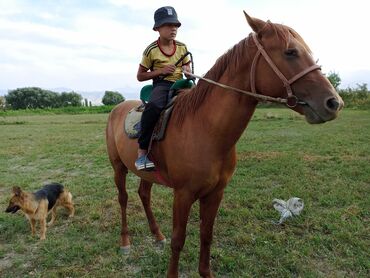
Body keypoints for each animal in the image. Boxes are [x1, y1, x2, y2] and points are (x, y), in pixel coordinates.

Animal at [105, 11, 342, 276]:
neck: (205, 130)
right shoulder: (183, 194)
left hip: (148, 174)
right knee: (124, 198)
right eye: (290, 52)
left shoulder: (215, 194)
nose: (334, 102)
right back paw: (125, 242)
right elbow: (178, 240)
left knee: (144, 195)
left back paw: (157, 236)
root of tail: (118, 107)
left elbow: (206, 236)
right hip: (118, 167)